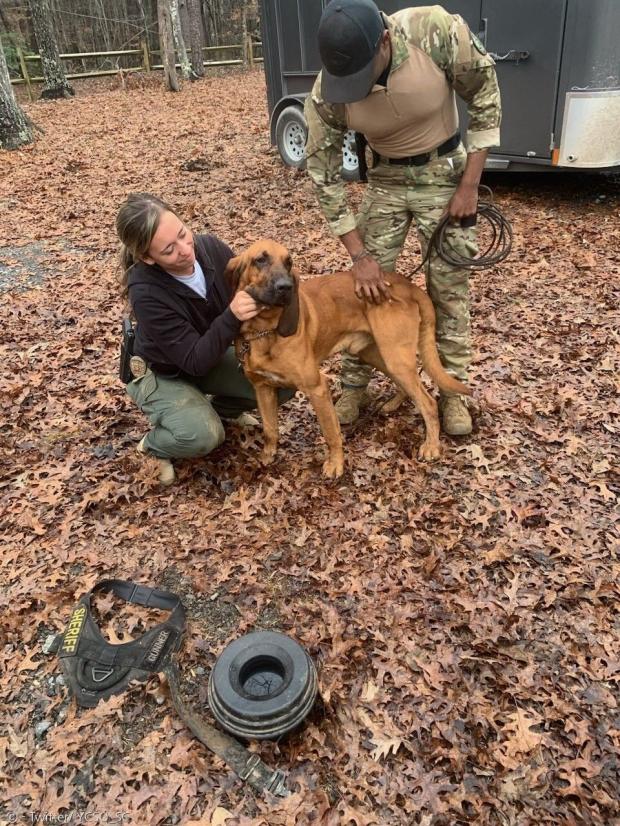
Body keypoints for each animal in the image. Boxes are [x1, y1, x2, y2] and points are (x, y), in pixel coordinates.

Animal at [225, 238, 472, 476]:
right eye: (260, 260)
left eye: (289, 262)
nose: (285, 287)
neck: (264, 330)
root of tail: (409, 286)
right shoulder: (262, 388)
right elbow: (269, 429)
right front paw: (268, 455)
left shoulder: (317, 388)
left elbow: (330, 432)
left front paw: (336, 464)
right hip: (379, 355)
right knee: (409, 388)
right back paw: (393, 405)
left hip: (395, 356)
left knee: (428, 402)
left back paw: (432, 446)